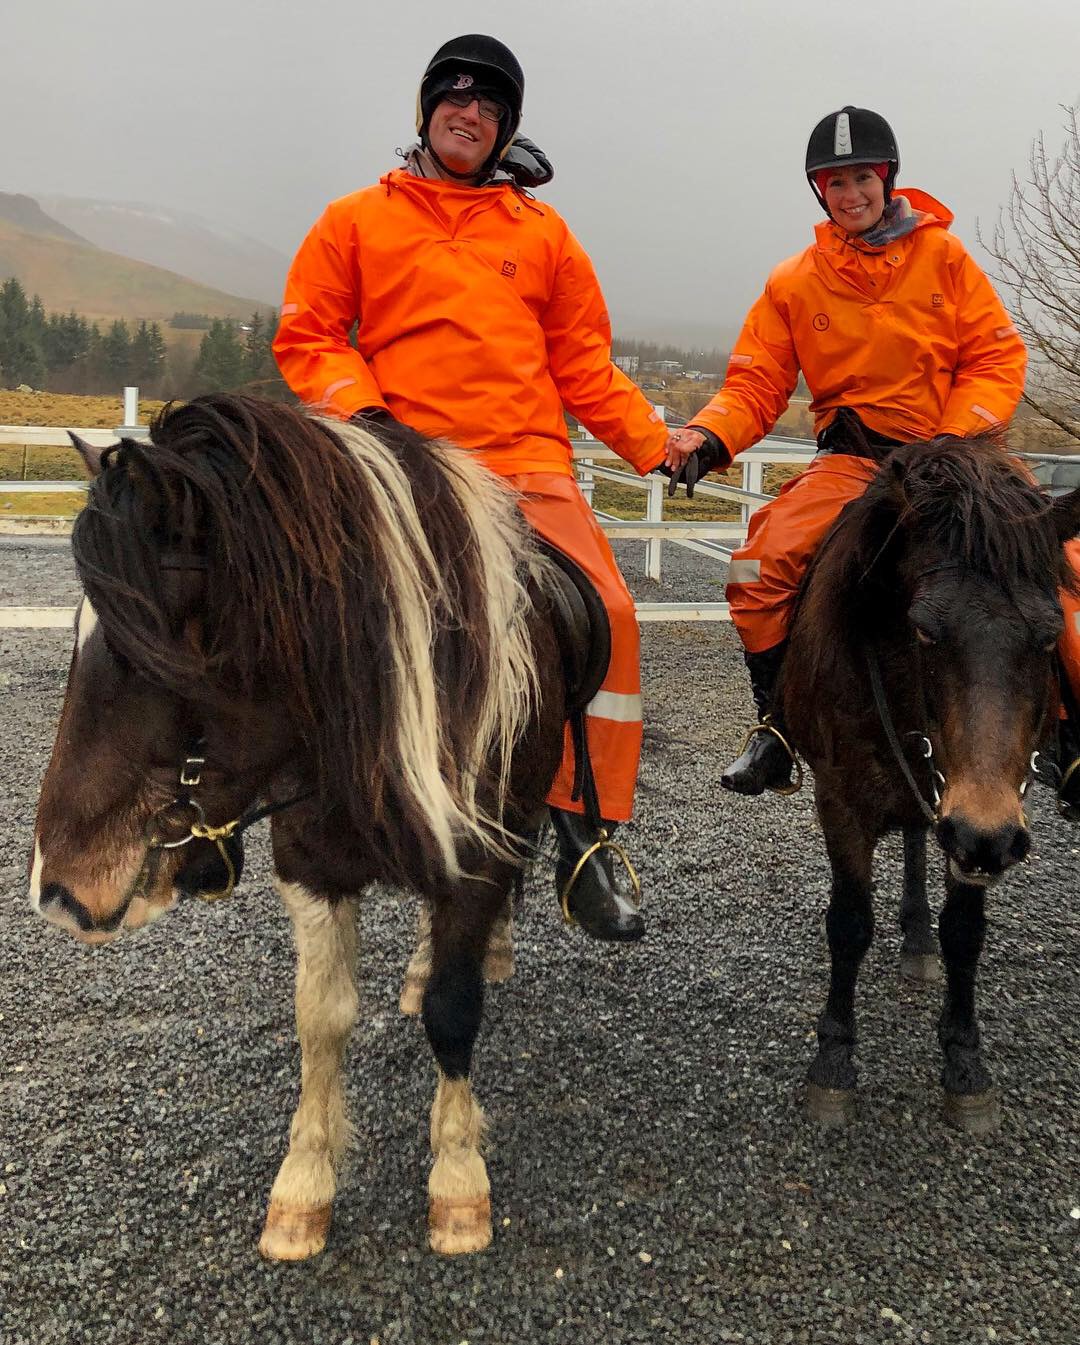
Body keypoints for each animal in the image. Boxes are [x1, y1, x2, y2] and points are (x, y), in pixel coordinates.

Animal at [28, 393, 573, 1258]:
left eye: (144, 652)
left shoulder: (476, 861)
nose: (57, 890)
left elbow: (455, 1012)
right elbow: (321, 1018)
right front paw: (304, 1182)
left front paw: (458, 1179)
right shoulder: (311, 864)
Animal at [780, 435, 1080, 1133]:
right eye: (923, 627)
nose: (984, 835)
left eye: (1050, 635)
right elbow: (849, 924)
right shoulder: (842, 802)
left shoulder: (981, 818)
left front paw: (965, 1062)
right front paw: (833, 1059)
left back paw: (918, 937)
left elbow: (965, 932)